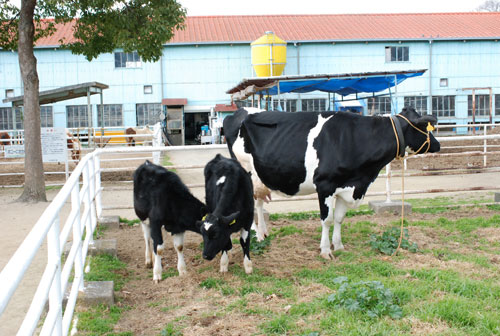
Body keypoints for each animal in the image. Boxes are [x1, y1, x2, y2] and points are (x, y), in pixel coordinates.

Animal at [225, 106, 440, 258]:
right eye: (425, 127)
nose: (438, 145)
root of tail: (238, 112)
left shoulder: (347, 187)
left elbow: (339, 218)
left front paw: (339, 246)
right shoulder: (325, 185)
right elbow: (327, 219)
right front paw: (325, 250)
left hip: (259, 177)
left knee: (259, 203)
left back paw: (263, 233)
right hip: (245, 172)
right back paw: (255, 234)